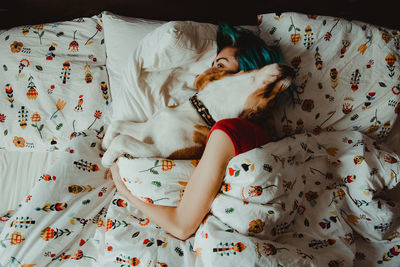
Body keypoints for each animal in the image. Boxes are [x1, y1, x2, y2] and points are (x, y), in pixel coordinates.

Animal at [101, 63, 292, 168]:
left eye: (271, 101)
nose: (291, 69)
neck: (201, 110)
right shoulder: (146, 130)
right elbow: (117, 124)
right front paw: (105, 143)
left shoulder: (160, 150)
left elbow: (122, 139)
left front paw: (107, 159)